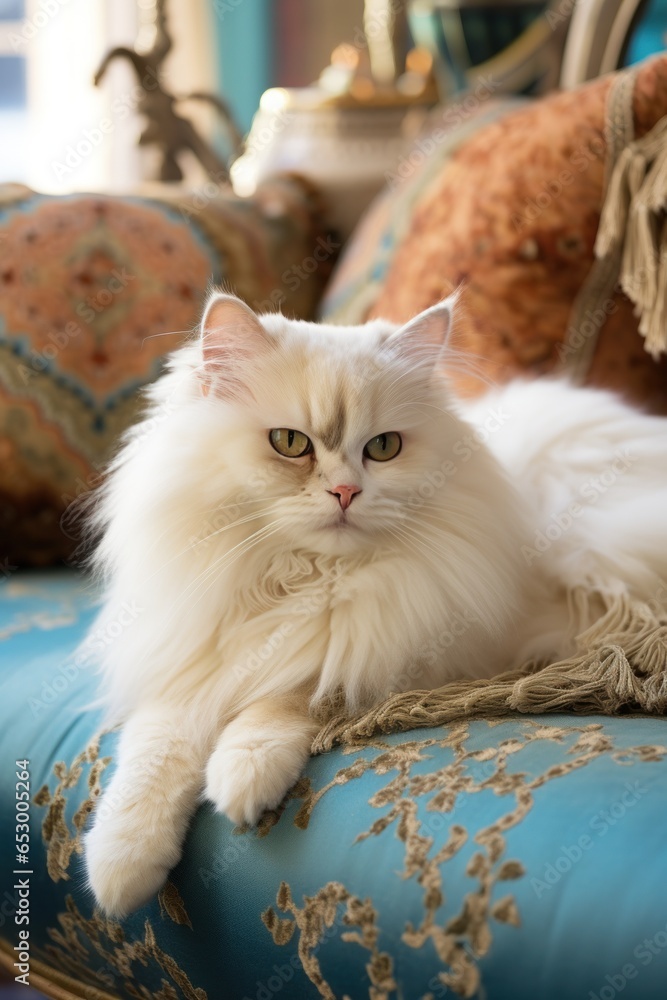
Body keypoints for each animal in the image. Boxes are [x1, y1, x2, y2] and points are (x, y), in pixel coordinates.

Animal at [82, 290, 667, 916]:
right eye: (290, 443)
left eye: (383, 448)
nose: (346, 492)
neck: (306, 582)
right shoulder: (190, 664)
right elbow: (150, 759)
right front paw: (119, 873)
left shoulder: (399, 648)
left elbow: (292, 696)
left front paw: (241, 777)